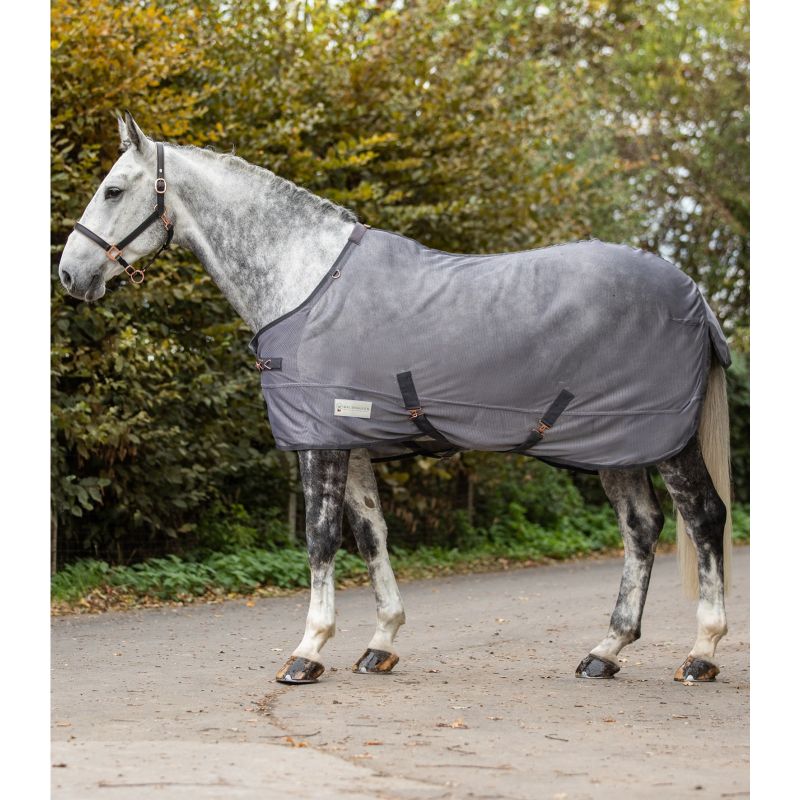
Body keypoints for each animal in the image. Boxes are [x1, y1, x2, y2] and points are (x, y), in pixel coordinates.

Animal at [58, 113, 732, 686]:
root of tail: (694, 293)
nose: (69, 274)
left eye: (113, 190)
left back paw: (701, 653)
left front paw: (307, 651)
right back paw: (604, 653)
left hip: (663, 442)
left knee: (703, 517)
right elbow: (371, 534)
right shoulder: (351, 440)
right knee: (641, 527)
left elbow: (322, 537)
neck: (307, 281)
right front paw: (380, 642)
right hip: (619, 447)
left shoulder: (321, 442)